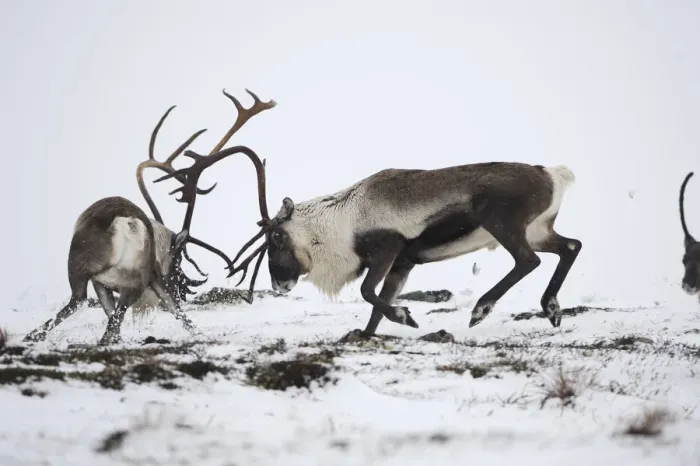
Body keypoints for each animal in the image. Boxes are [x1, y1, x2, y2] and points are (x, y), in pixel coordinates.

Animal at [22, 89, 276, 345]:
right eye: (178, 260)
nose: (184, 290)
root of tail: (125, 222)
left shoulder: (116, 281)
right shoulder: (138, 279)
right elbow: (173, 311)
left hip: (96, 273)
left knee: (84, 305)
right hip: (115, 276)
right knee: (100, 314)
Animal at [222, 153, 582, 340]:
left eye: (276, 237)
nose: (278, 283)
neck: (339, 221)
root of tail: (553, 175)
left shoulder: (387, 249)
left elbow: (368, 292)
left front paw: (405, 316)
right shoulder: (404, 263)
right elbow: (378, 302)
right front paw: (366, 334)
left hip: (503, 225)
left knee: (528, 261)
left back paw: (482, 309)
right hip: (538, 230)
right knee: (571, 246)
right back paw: (552, 308)